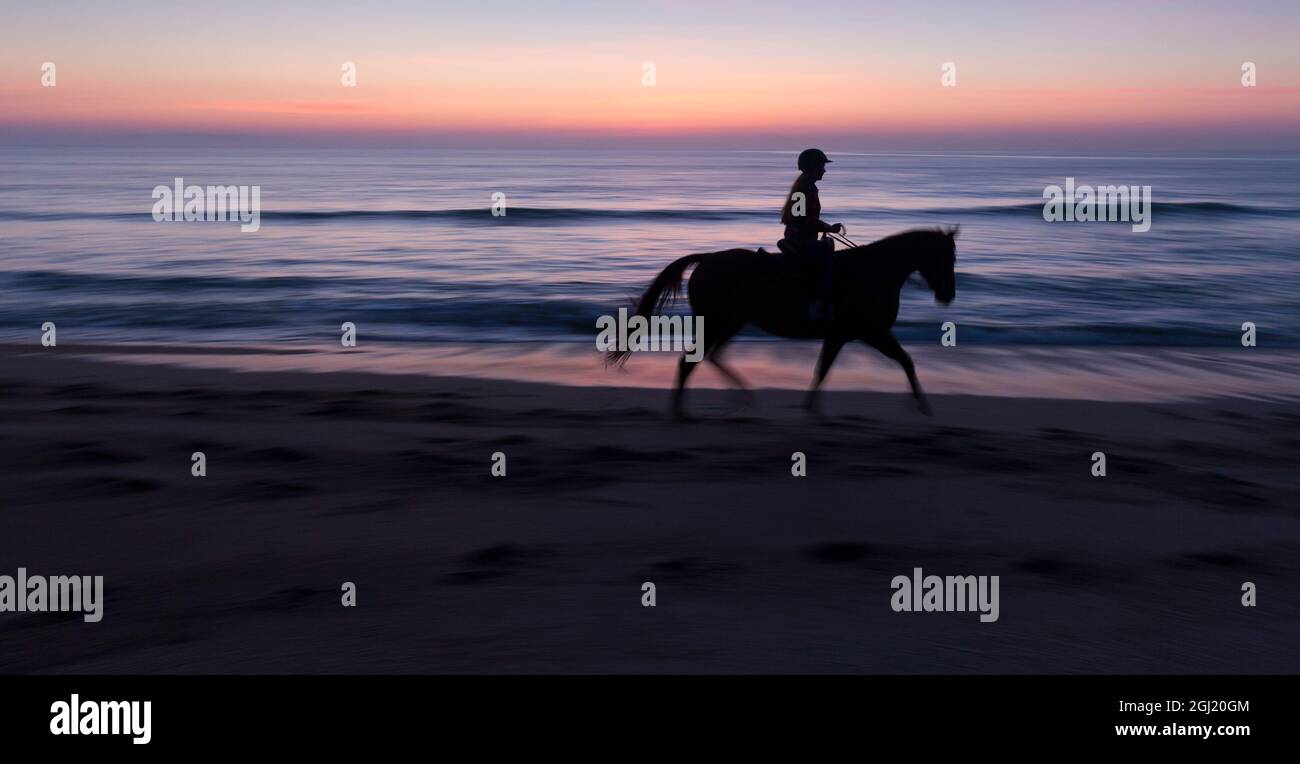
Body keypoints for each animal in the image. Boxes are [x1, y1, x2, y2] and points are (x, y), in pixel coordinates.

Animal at [605, 227, 956, 418]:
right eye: (946, 257)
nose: (948, 295)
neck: (873, 272)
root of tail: (707, 259)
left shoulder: (848, 335)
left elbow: (827, 368)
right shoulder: (869, 333)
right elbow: (903, 361)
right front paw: (924, 406)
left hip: (730, 322)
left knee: (712, 357)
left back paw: (743, 396)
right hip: (717, 322)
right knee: (690, 361)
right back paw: (681, 410)